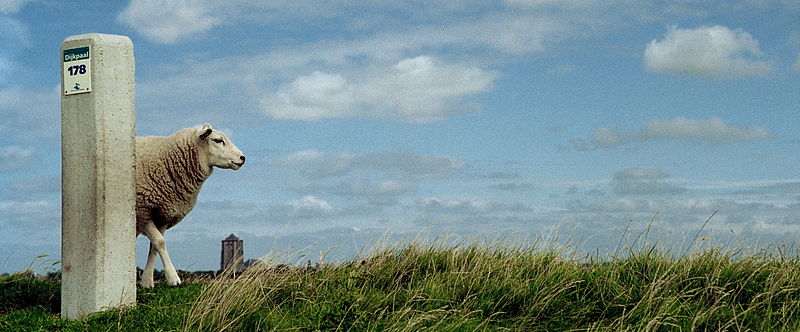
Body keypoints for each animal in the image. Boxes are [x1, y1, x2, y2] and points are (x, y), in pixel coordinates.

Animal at [134, 123, 244, 286]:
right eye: (218, 140)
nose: (243, 158)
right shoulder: (143, 211)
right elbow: (160, 242)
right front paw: (173, 278)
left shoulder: (163, 214)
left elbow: (154, 246)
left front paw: (147, 281)